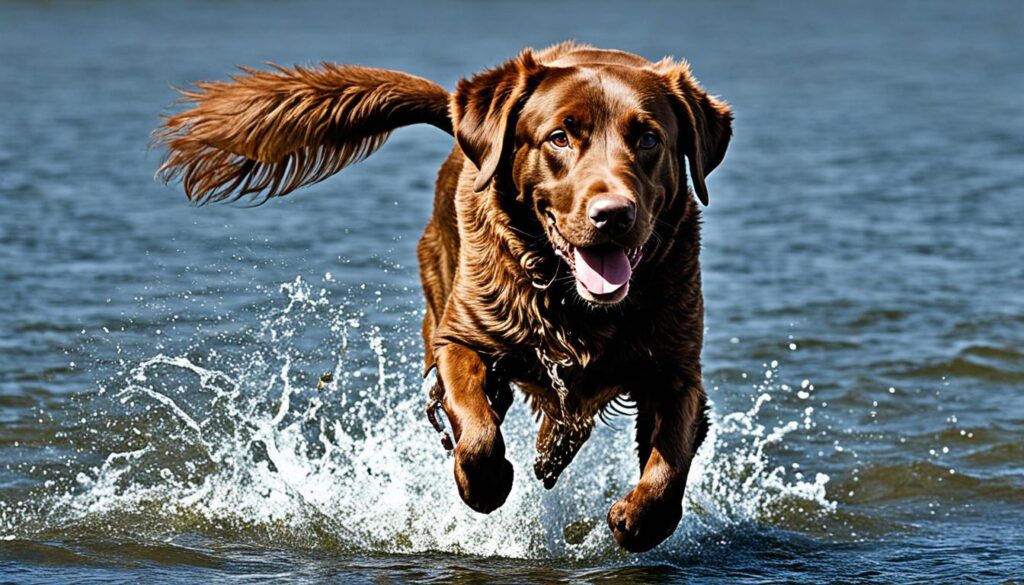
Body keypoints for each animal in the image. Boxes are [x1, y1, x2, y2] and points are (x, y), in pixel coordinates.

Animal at [153, 42, 729, 553]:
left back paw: (552, 451)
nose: (613, 215)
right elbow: (476, 430)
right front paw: (485, 485)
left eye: (649, 138)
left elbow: (670, 460)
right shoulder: (463, 338)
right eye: (560, 137)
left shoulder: (677, 367)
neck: (572, 303)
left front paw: (638, 519)